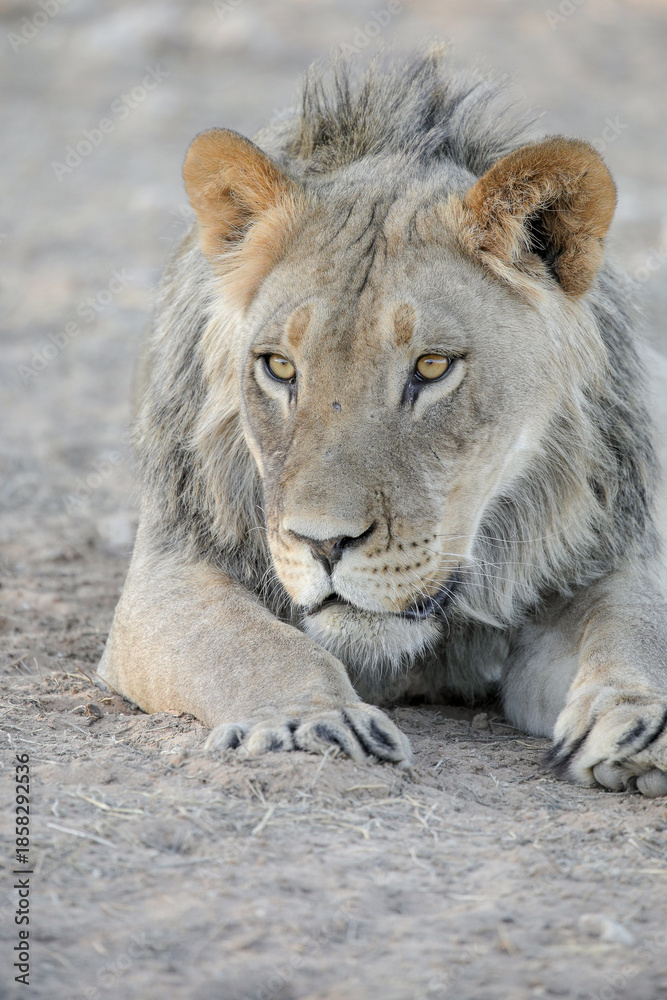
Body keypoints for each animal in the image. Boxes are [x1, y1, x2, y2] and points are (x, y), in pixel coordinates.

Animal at [99, 47, 667, 797]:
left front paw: (643, 725)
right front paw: (310, 721)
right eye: (279, 367)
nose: (324, 544)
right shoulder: (167, 574)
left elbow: (632, 628)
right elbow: (255, 645)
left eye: (431, 367)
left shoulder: (602, 563)